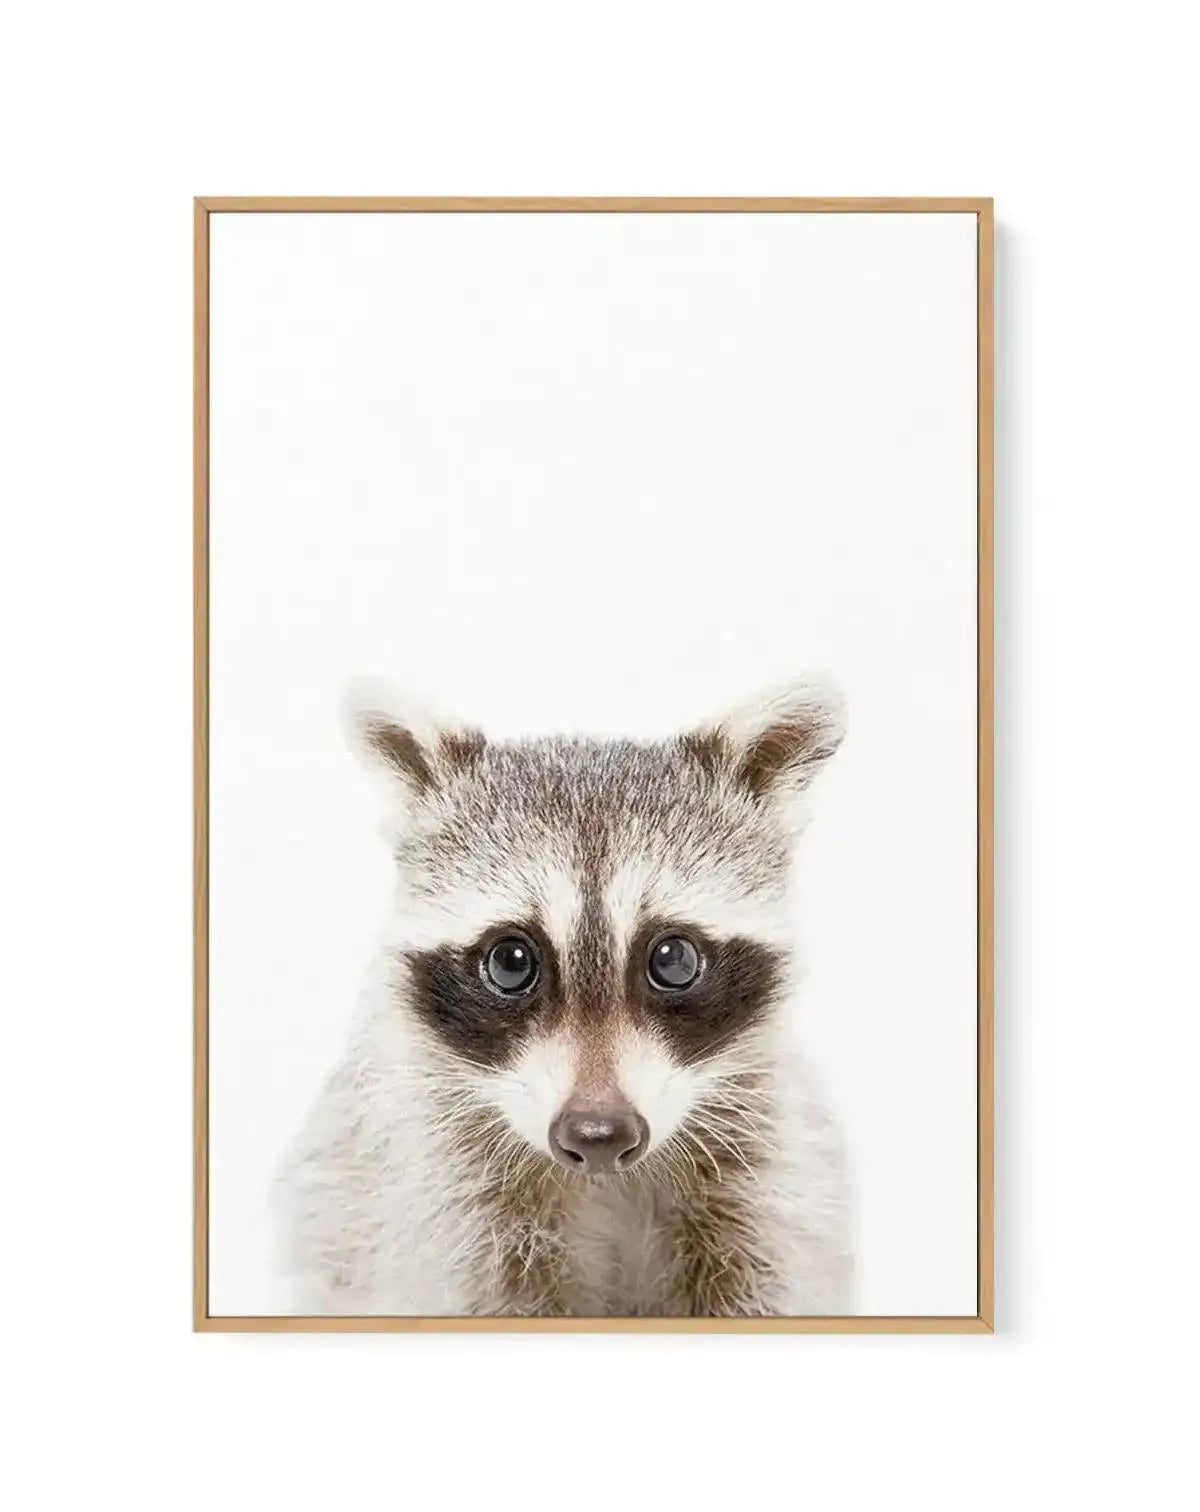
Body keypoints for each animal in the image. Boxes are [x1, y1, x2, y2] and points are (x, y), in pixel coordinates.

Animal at [279, 677, 852, 1317]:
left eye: (673, 959)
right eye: (510, 963)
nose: (598, 1135)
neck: (603, 1180)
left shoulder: (772, 1181)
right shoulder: (432, 1193)